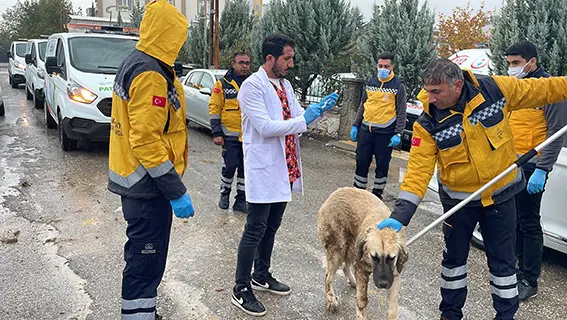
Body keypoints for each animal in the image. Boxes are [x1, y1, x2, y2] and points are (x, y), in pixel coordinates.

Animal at [320, 188, 408, 320]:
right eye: (374, 257)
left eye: (391, 258)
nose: (383, 284)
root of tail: (335, 193)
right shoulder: (361, 269)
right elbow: (362, 300)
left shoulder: (394, 275)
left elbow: (393, 309)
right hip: (338, 251)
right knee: (328, 277)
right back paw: (331, 301)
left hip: (353, 249)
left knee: (345, 266)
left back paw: (352, 282)